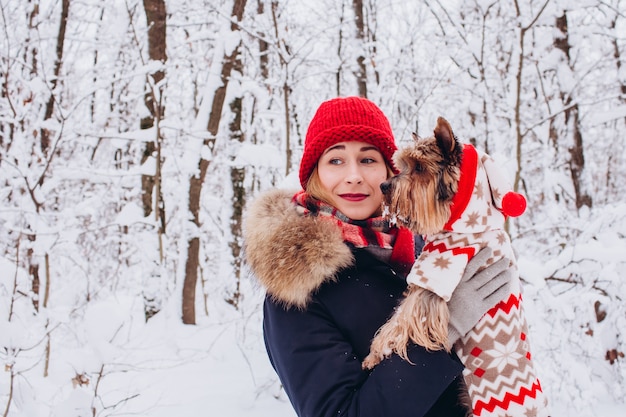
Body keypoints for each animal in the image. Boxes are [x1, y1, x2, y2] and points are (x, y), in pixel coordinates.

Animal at [360, 117, 544, 416]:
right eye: (403, 165)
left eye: (419, 168)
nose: (384, 186)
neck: (464, 224)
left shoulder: (435, 280)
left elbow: (399, 321)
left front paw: (375, 353)